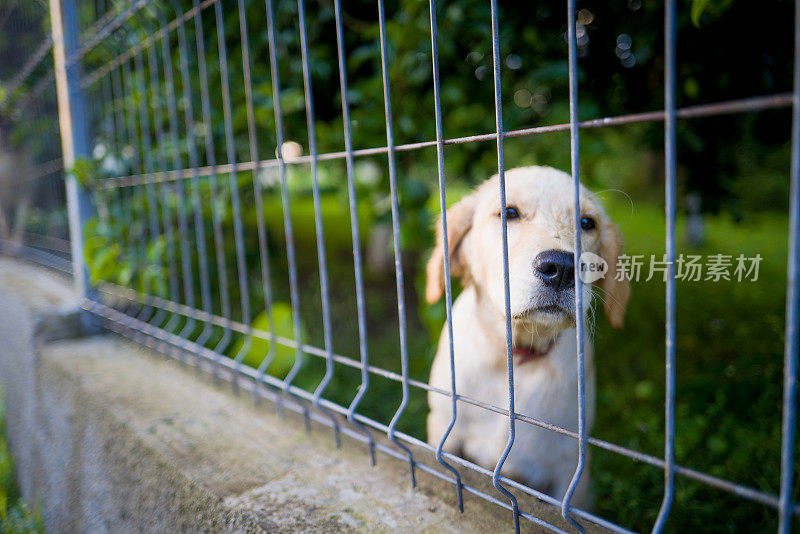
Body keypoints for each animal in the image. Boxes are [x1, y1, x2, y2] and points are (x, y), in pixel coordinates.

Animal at [428, 165, 628, 508]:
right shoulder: (443, 428)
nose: (562, 268)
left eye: (587, 223)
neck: (515, 360)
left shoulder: (572, 469)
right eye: (509, 212)